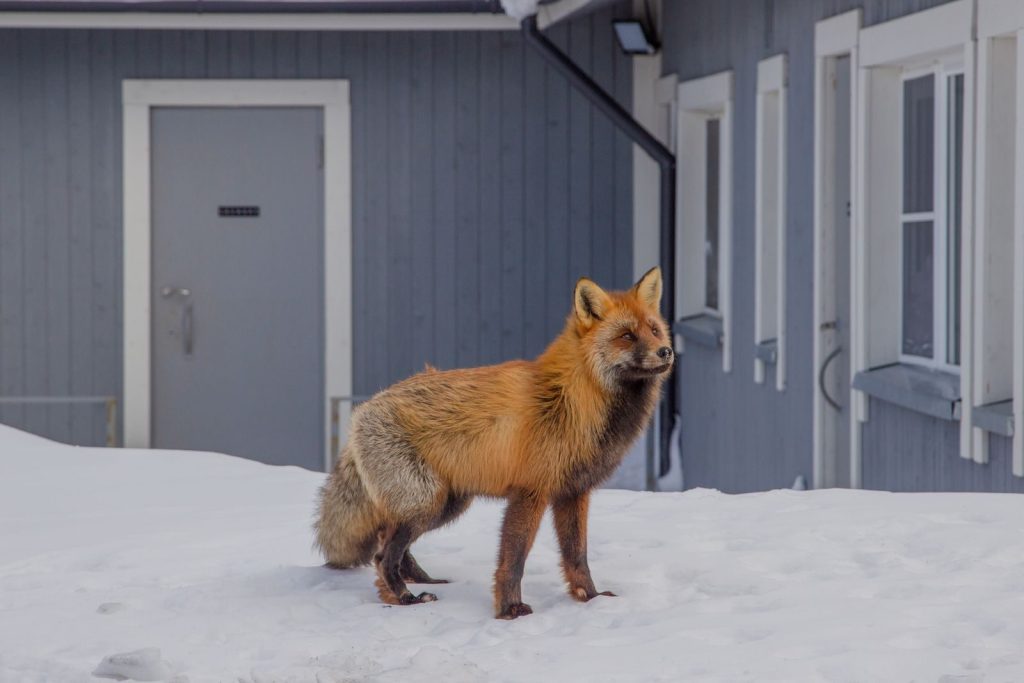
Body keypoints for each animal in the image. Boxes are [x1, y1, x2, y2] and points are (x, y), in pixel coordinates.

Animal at [315, 267, 673, 619]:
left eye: (655, 330)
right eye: (627, 336)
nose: (666, 351)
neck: (573, 400)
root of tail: (364, 408)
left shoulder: (574, 492)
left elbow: (577, 556)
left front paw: (590, 598)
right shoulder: (530, 492)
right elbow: (513, 560)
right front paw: (510, 610)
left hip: (445, 504)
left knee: (390, 544)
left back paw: (420, 581)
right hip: (425, 502)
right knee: (383, 555)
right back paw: (405, 598)